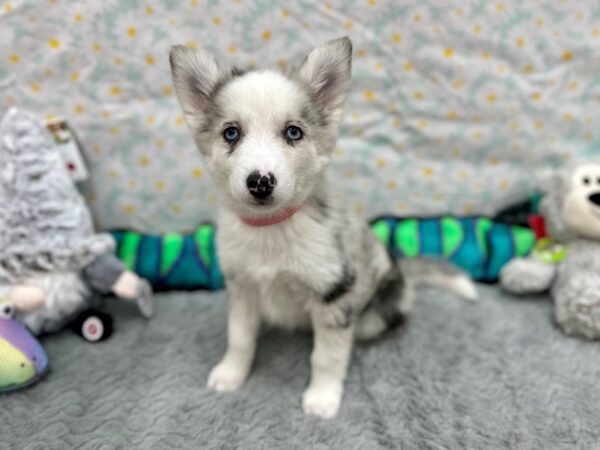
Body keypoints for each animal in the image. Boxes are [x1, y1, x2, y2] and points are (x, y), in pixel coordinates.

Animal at [170, 36, 478, 418]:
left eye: (293, 132)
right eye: (231, 133)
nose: (260, 182)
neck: (273, 229)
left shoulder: (335, 290)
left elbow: (327, 356)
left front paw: (322, 398)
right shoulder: (241, 285)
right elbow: (239, 338)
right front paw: (230, 374)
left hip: (375, 309)